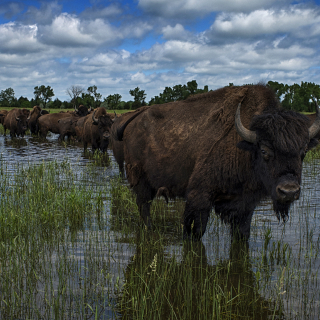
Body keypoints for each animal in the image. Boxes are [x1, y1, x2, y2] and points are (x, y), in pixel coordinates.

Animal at [112, 84, 320, 240]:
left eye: (303, 152)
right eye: (264, 150)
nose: (289, 191)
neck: (244, 146)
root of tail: (136, 117)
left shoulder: (244, 206)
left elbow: (242, 233)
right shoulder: (199, 198)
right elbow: (195, 231)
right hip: (141, 183)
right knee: (144, 208)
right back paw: (150, 230)